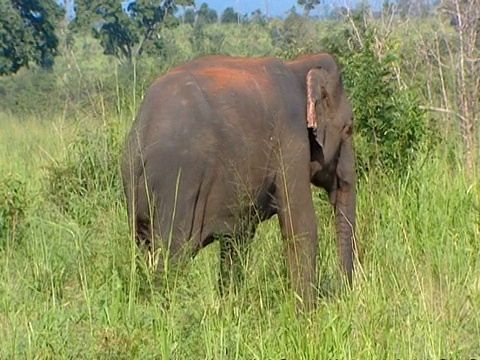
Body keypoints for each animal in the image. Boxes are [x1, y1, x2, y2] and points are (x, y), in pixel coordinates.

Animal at [123, 52, 356, 310]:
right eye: (349, 129)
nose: (343, 297)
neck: (298, 66)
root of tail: (144, 135)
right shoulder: (290, 141)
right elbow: (301, 226)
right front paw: (305, 314)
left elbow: (238, 240)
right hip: (177, 183)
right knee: (170, 256)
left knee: (145, 249)